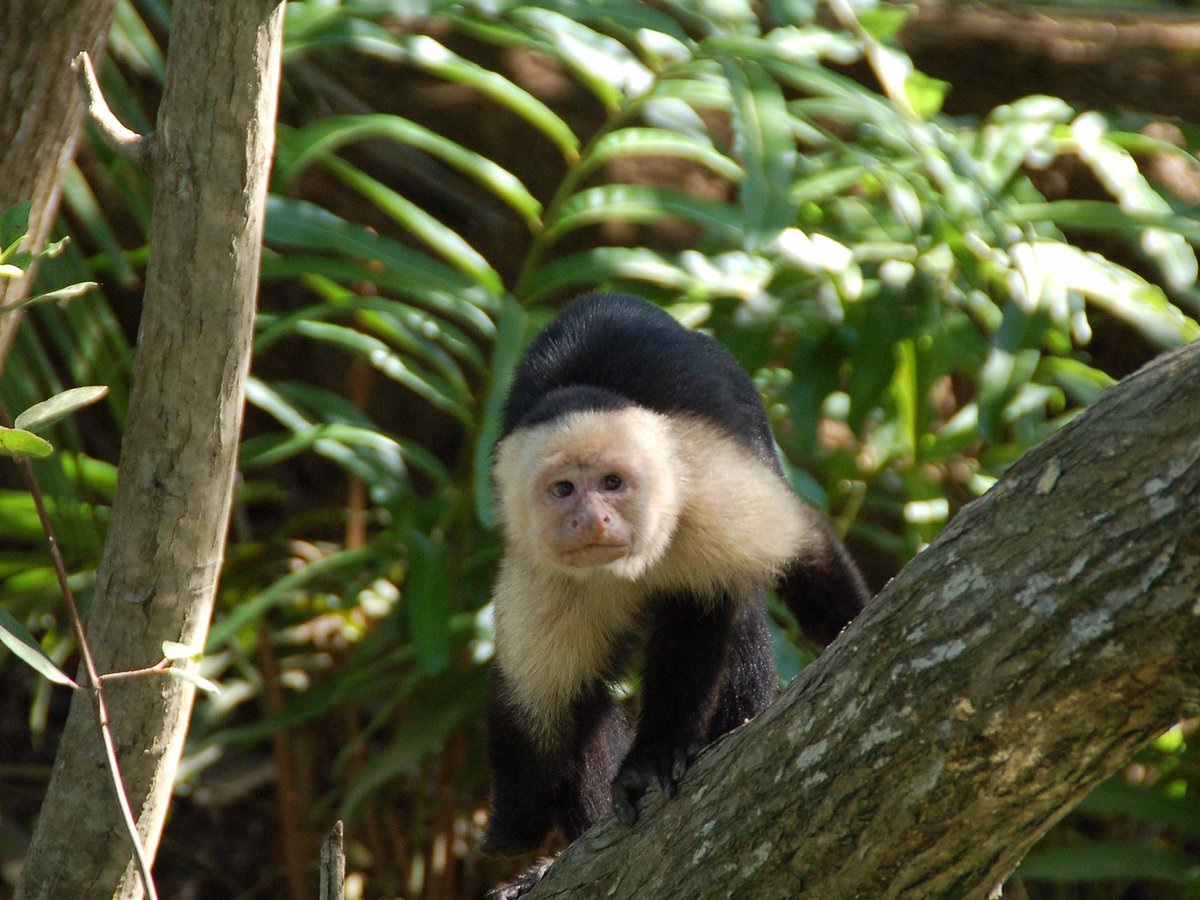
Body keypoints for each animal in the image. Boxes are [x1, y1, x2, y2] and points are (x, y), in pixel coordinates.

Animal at [481, 292, 869, 861]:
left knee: (729, 609)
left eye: (612, 483)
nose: (591, 519)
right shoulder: (538, 575)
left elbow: (800, 549)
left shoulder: (707, 493)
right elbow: (543, 710)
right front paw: (517, 836)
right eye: (563, 490)